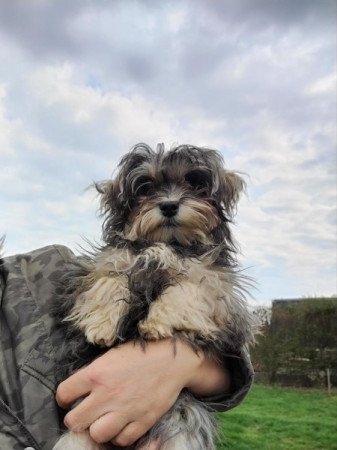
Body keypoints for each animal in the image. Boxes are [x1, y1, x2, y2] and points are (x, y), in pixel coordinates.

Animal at [52, 144, 253, 450]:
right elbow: (108, 279)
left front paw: (157, 322)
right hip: (78, 433)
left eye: (194, 182)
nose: (169, 205)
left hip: (184, 422)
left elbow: (189, 289)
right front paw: (101, 324)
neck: (168, 243)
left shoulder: (217, 288)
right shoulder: (103, 264)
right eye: (146, 187)